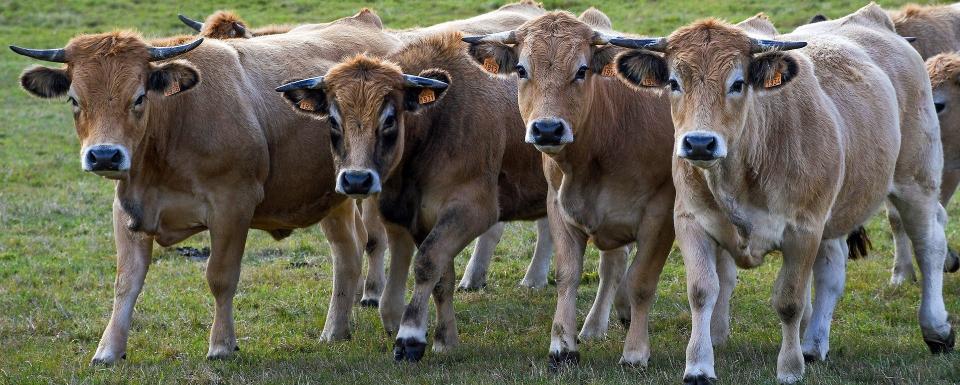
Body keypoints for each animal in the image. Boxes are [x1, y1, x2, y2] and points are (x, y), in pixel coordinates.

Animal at [11, 9, 402, 364]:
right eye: (74, 100)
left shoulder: (233, 206)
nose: (104, 155)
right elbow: (126, 283)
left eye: (139, 97)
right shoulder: (128, 210)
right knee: (347, 251)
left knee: (371, 243)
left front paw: (221, 345)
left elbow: (220, 276)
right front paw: (108, 350)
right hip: (335, 197)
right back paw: (336, 329)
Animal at [464, 9, 744, 368]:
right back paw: (598, 324)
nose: (547, 129)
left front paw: (635, 352)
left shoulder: (659, 215)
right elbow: (568, 275)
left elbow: (642, 281)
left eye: (582, 70)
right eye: (522, 70)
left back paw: (717, 331)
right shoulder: (560, 206)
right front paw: (563, 346)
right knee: (612, 267)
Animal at [612, 4, 956, 382]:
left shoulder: (803, 230)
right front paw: (699, 366)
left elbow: (789, 301)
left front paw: (789, 368)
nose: (699, 142)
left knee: (929, 245)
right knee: (832, 270)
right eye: (674, 82)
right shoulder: (691, 221)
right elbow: (702, 291)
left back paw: (936, 329)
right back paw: (814, 343)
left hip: (917, 180)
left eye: (738, 83)